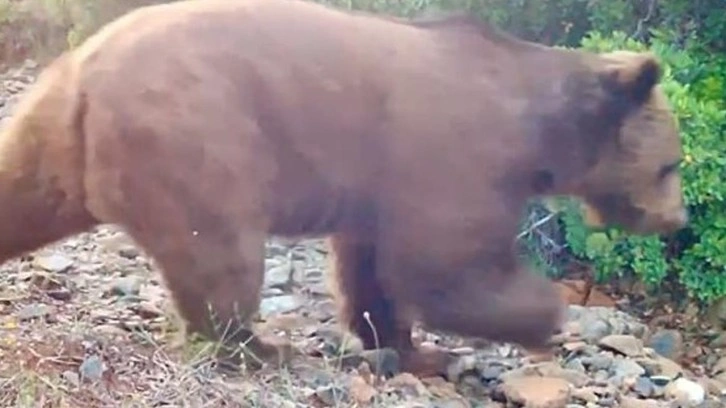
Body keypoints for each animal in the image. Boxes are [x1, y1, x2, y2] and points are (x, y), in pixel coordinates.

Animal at [0, 0, 688, 378]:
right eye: (672, 165)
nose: (677, 221)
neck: (536, 129)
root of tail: (88, 70)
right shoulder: (453, 154)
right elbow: (443, 265)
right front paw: (546, 316)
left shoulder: (377, 184)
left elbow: (372, 269)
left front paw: (415, 349)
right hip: (200, 134)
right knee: (221, 253)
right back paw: (259, 347)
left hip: (51, 133)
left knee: (21, 193)